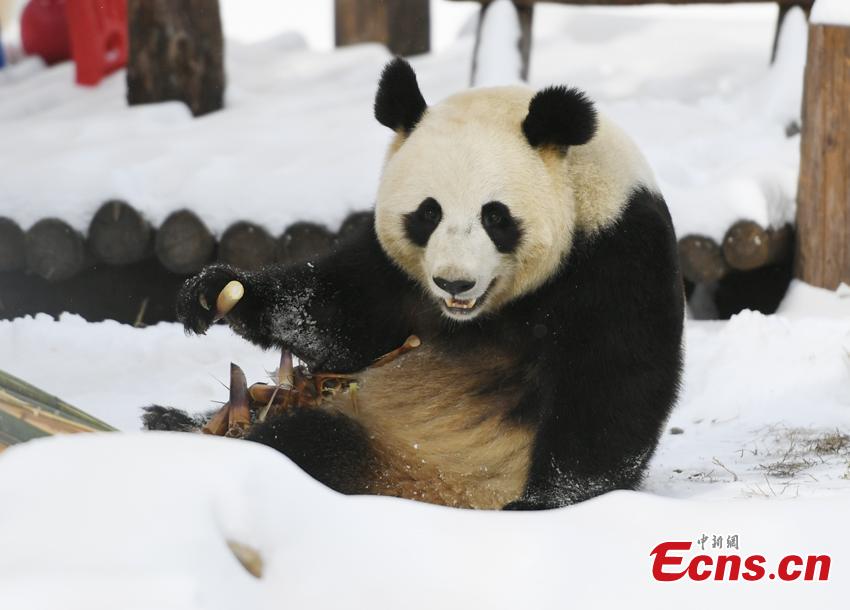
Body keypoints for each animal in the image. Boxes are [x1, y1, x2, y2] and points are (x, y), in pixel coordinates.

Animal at [159, 58, 684, 508]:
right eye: (428, 213)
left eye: (496, 216)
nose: (454, 283)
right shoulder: (394, 274)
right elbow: (340, 316)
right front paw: (216, 293)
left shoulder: (617, 253)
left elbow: (614, 384)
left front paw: (542, 503)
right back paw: (174, 419)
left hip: (425, 464)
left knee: (312, 445)